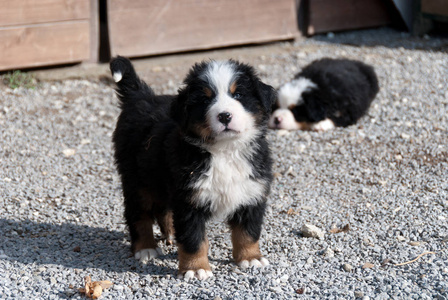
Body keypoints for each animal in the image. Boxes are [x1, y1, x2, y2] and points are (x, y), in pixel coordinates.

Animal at [110, 56, 274, 282]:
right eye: (205, 100)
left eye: (238, 95)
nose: (224, 116)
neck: (224, 150)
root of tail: (141, 96)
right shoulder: (189, 200)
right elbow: (193, 239)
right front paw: (196, 268)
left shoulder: (251, 192)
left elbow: (248, 232)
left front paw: (250, 258)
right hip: (137, 181)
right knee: (138, 213)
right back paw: (145, 248)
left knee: (163, 209)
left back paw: (169, 234)